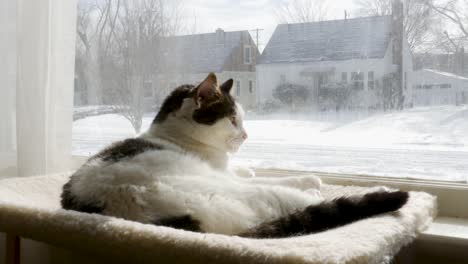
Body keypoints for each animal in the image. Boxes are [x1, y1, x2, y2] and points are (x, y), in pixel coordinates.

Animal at [61, 73, 406, 238]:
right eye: (232, 119)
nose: (246, 135)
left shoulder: (225, 168)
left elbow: (246, 169)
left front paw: (248, 167)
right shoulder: (223, 174)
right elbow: (278, 176)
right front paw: (309, 178)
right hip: (235, 192)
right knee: (296, 199)